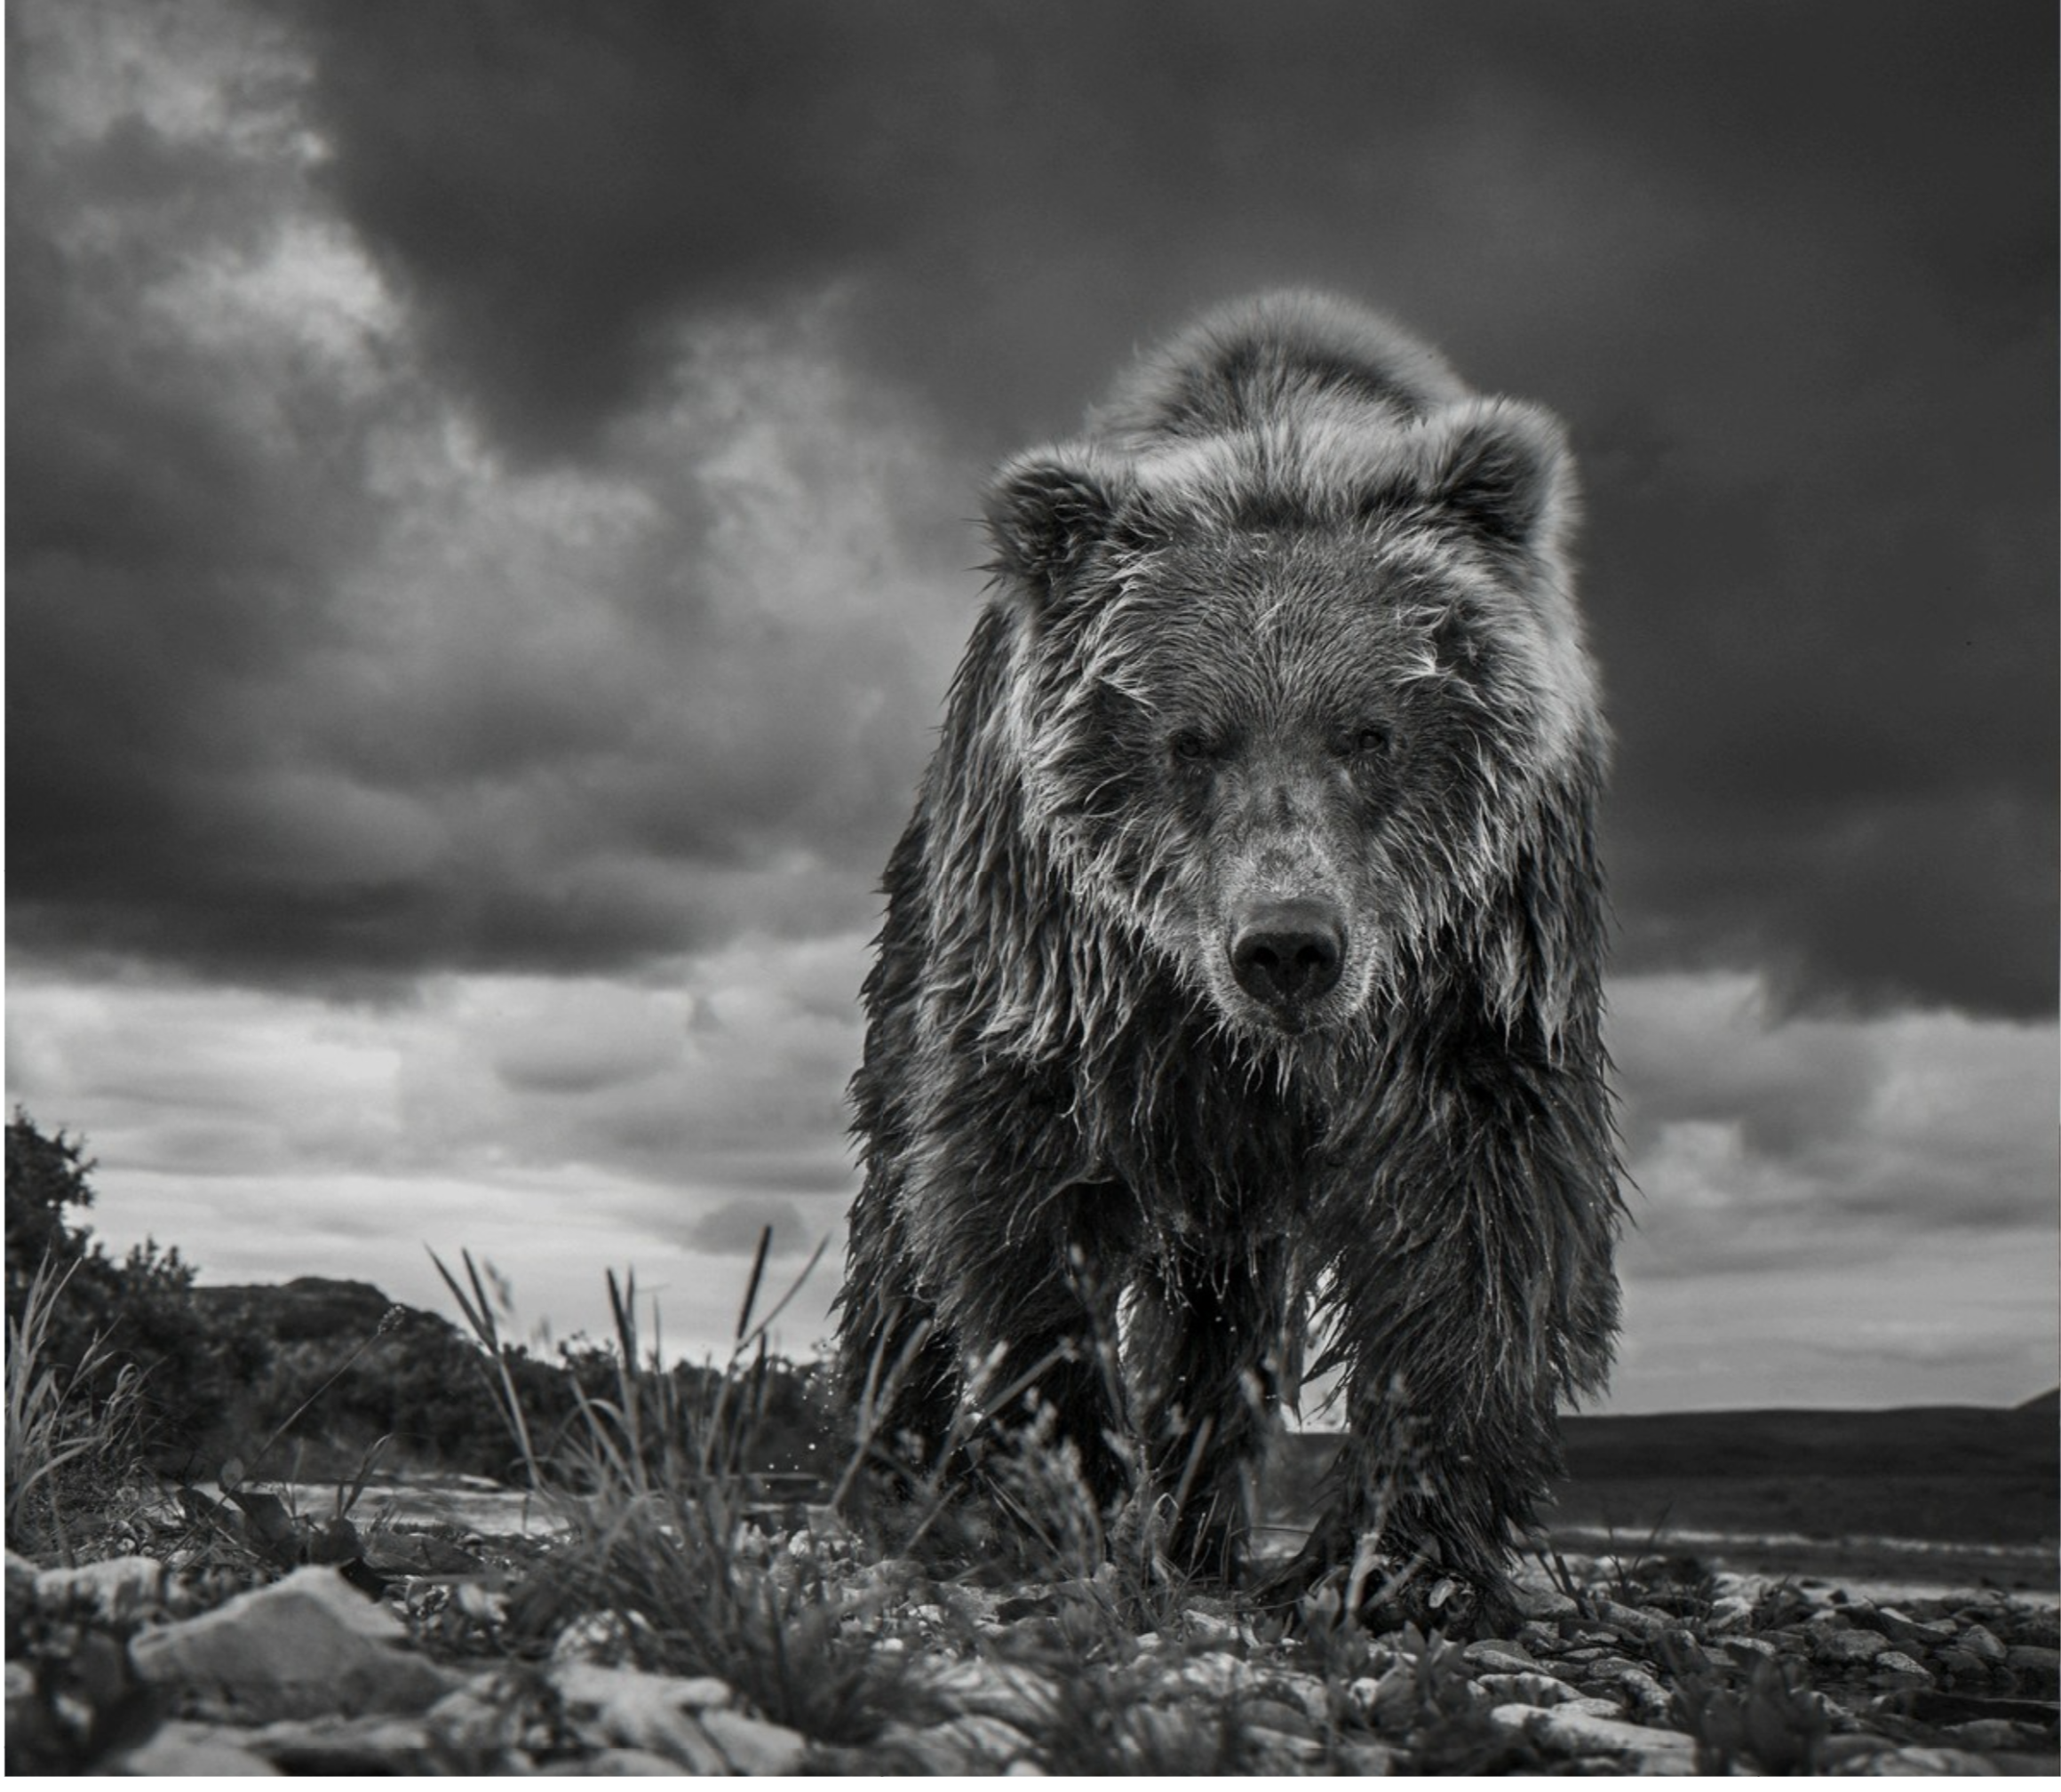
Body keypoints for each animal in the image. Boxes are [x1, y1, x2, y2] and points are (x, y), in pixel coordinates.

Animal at [836, 290, 1621, 1622]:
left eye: (1369, 729)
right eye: (1188, 737)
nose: (1288, 947)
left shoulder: (1480, 955)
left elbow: (1479, 1216)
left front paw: (1397, 1555)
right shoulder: (1069, 963)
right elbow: (1018, 1196)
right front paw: (1076, 1497)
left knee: (1227, 1315)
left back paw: (1205, 1520)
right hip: (923, 932)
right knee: (897, 1199)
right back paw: (896, 1455)